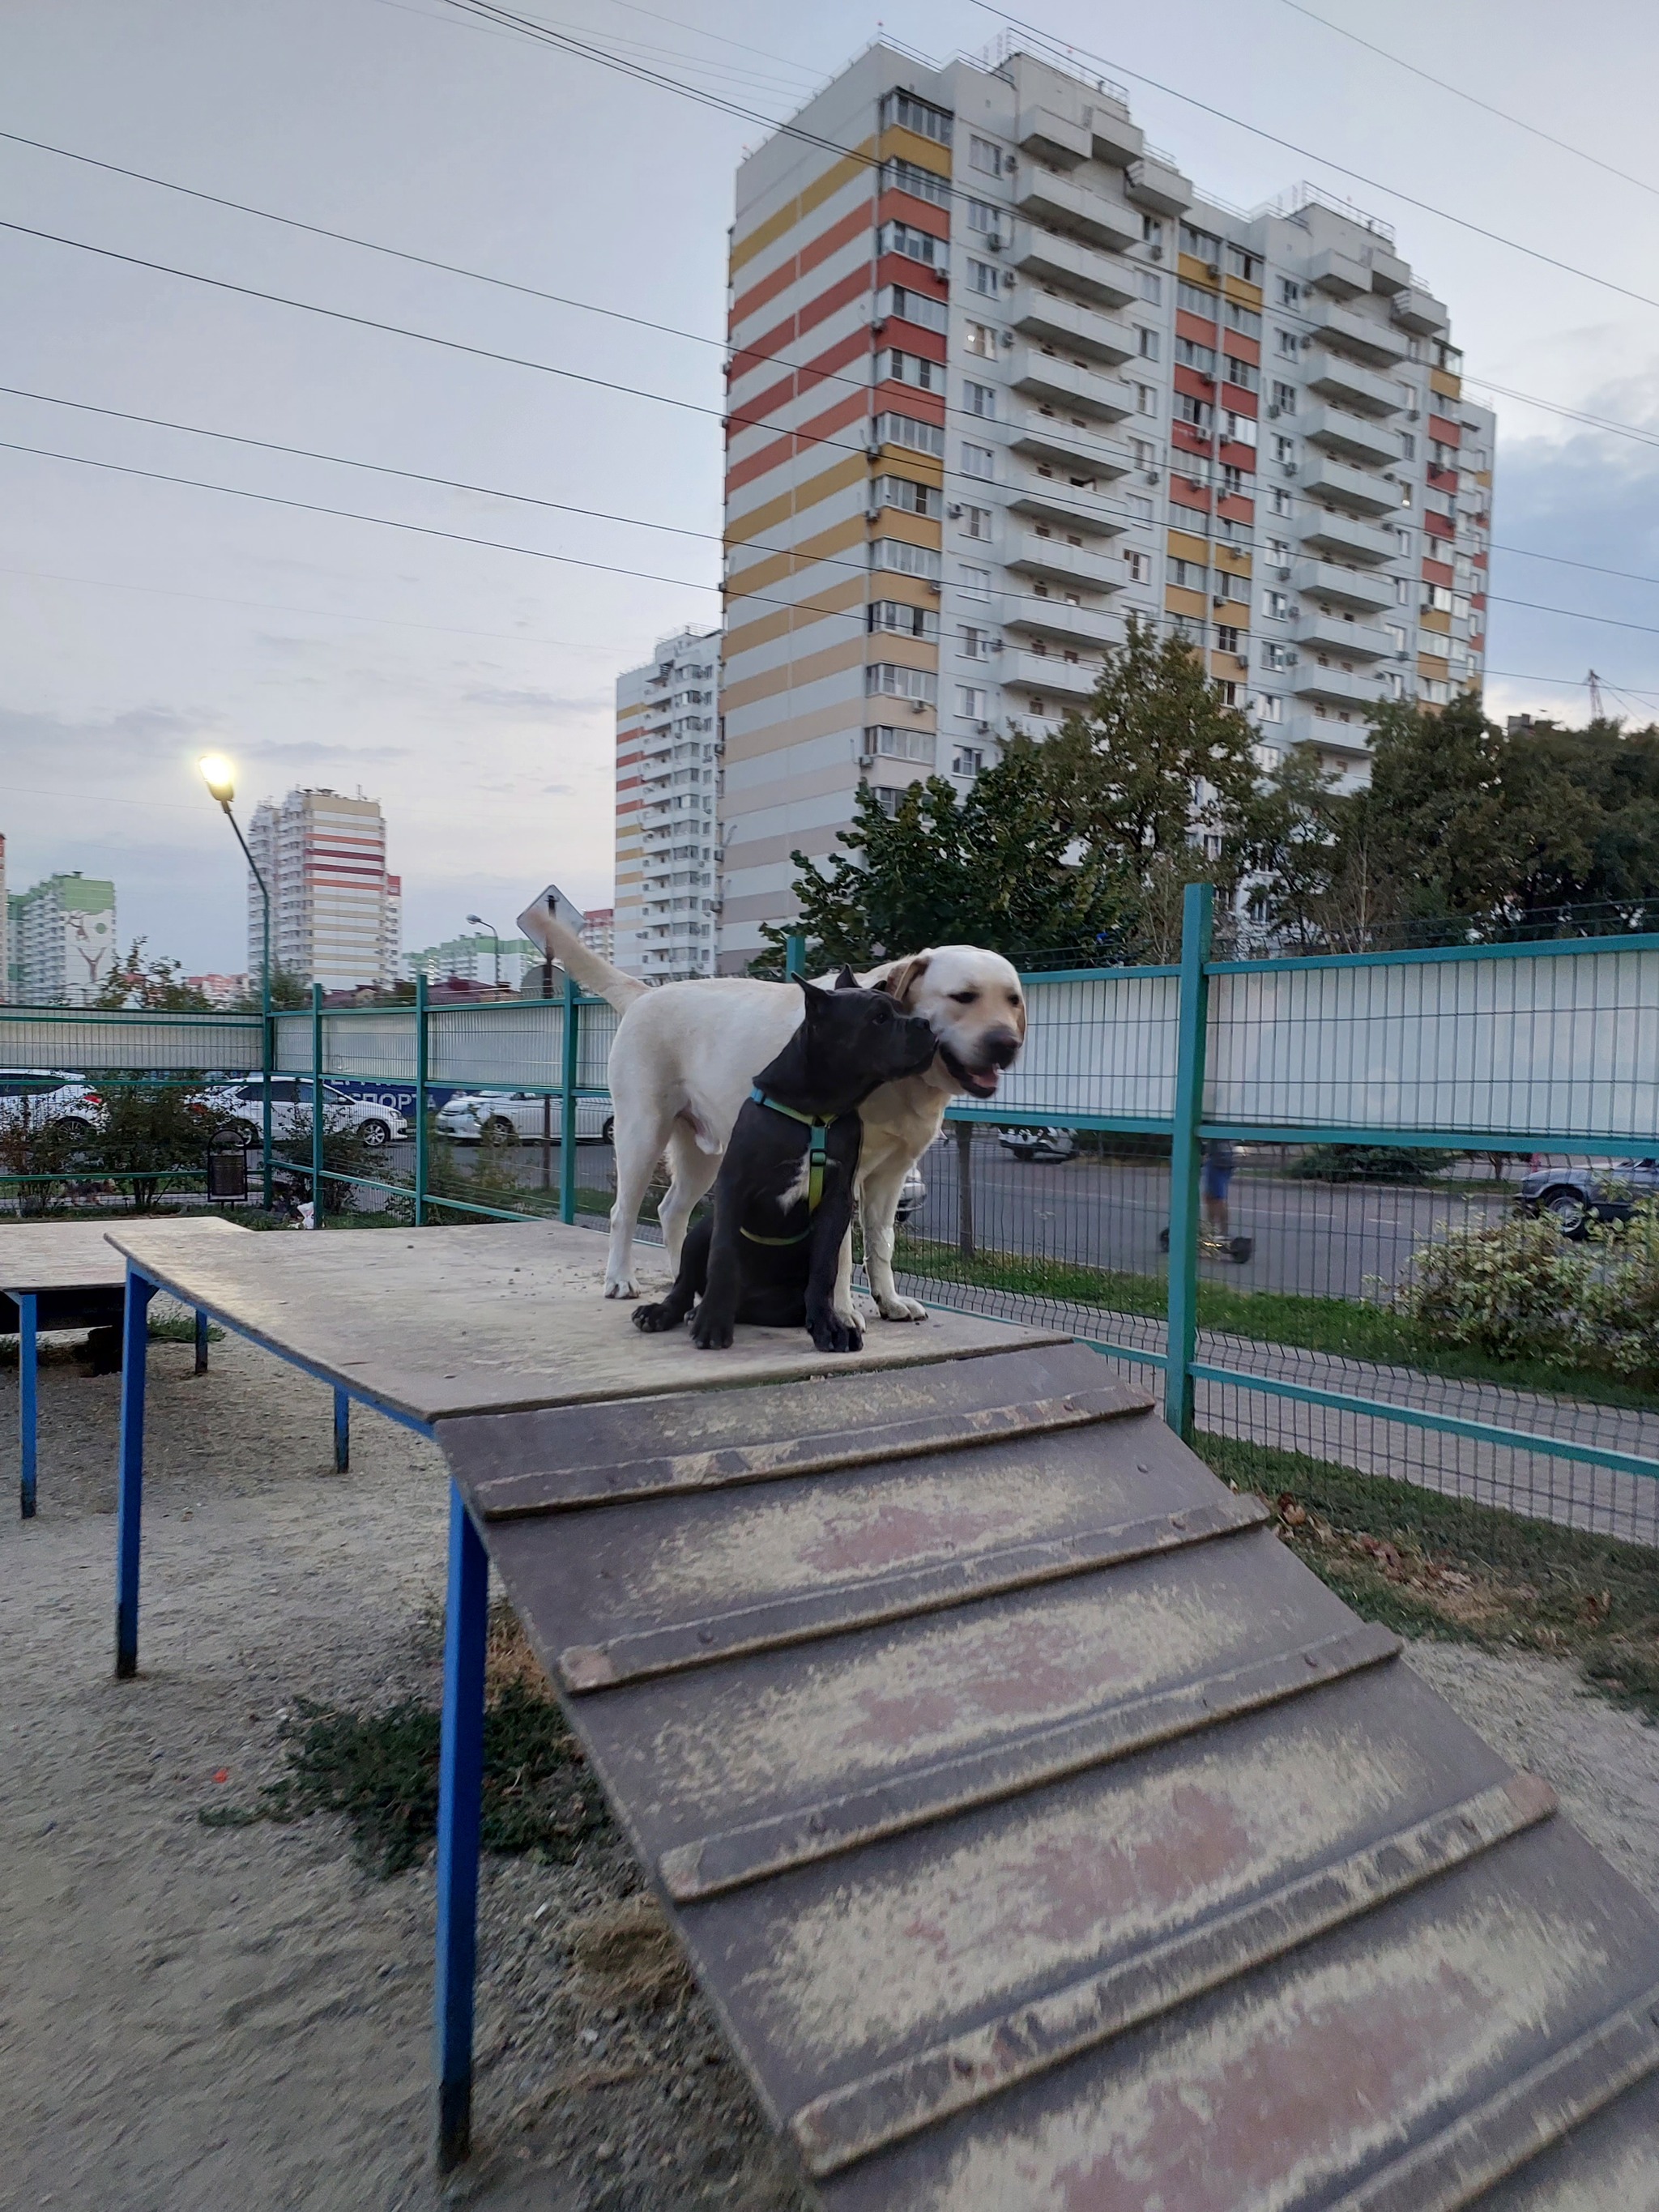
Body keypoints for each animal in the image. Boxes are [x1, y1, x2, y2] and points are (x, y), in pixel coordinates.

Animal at [637, 978, 942, 1353]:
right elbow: (723, 1256)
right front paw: (712, 1324)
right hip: (699, 1230)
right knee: (686, 1281)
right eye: (879, 1018)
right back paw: (664, 1312)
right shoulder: (733, 1185)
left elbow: (825, 1268)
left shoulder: (836, 1201)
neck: (816, 1111)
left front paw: (831, 1327)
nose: (925, 1024)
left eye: (901, 1009)